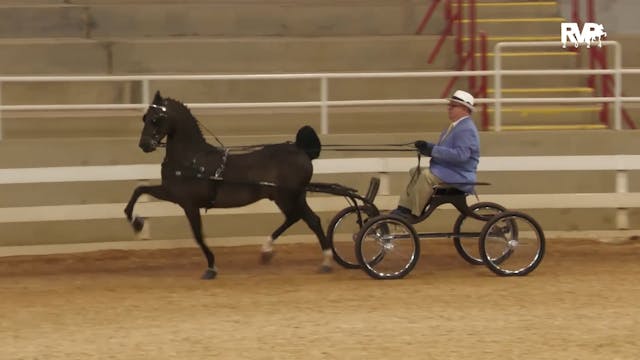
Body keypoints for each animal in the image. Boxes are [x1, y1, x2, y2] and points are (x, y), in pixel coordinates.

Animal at [124, 91, 330, 280]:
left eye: (156, 118)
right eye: (145, 117)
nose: (144, 144)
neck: (191, 160)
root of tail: (300, 149)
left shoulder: (188, 204)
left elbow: (198, 235)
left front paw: (211, 267)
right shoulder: (172, 194)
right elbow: (140, 190)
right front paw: (137, 222)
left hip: (287, 197)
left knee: (303, 218)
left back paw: (321, 260)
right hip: (292, 197)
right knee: (305, 219)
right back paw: (276, 252)